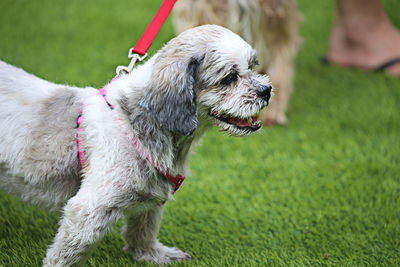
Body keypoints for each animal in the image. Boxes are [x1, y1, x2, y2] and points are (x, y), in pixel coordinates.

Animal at [0, 24, 272, 266]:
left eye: (252, 66)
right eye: (229, 78)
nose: (267, 90)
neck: (136, 124)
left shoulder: (153, 197)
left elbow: (143, 231)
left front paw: (151, 255)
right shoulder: (87, 211)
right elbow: (65, 256)